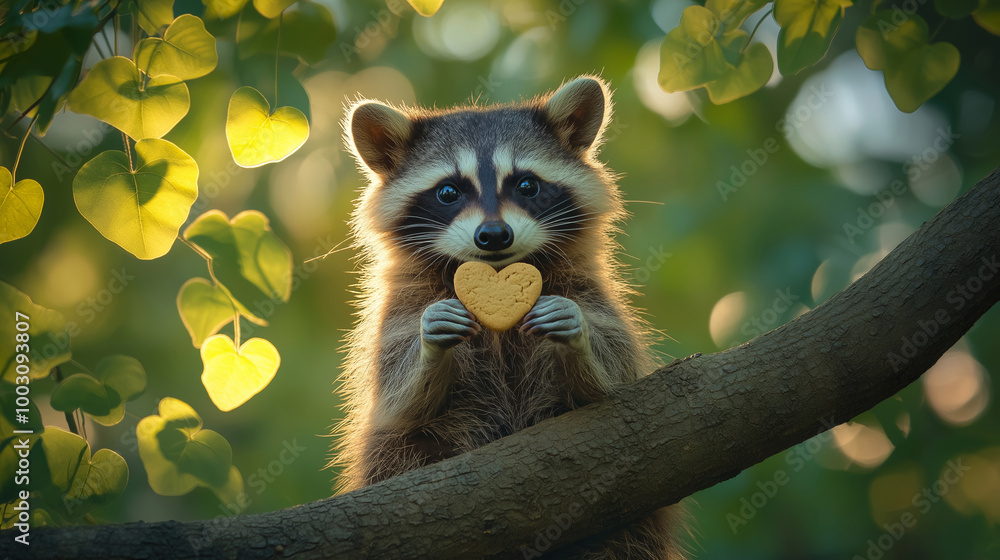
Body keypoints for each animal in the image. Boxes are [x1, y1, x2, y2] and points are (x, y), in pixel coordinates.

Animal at [335, 76, 683, 559]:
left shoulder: (591, 292)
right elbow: (398, 399)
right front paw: (429, 346)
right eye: (449, 192)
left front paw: (576, 336)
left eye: (527, 186)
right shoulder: (398, 311)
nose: (494, 235)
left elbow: (614, 378)